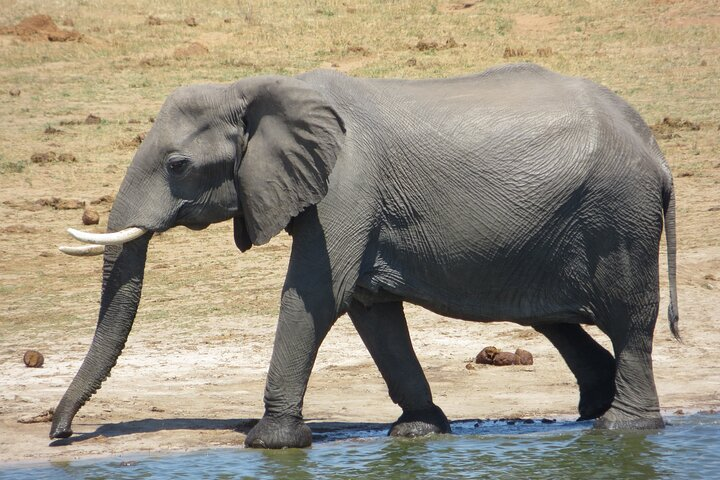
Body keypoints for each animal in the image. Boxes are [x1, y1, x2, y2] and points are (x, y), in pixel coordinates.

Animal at [52, 63, 679, 448]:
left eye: (177, 165)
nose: (59, 434)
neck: (258, 87)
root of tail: (655, 150)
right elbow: (369, 307)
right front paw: (419, 433)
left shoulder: (345, 188)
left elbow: (315, 296)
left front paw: (271, 442)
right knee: (554, 319)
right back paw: (594, 411)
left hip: (618, 218)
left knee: (629, 321)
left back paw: (621, 430)